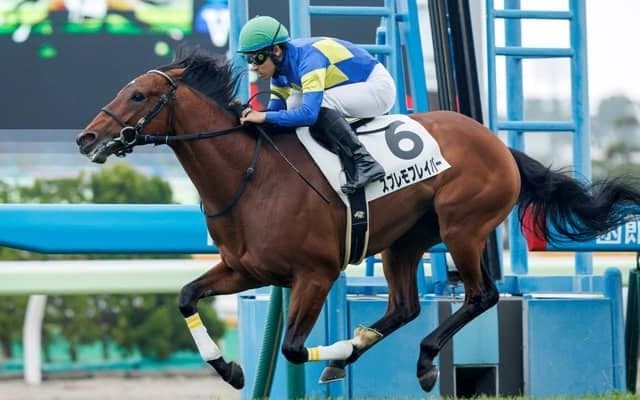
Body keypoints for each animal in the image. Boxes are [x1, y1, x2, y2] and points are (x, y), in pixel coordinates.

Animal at [75, 49, 640, 392]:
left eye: (139, 96)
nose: (86, 138)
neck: (251, 177)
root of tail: (500, 146)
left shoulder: (315, 274)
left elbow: (292, 348)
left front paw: (337, 347)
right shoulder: (244, 269)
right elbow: (187, 296)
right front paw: (230, 368)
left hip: (462, 227)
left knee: (482, 296)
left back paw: (413, 360)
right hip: (405, 242)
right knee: (406, 306)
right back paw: (370, 355)